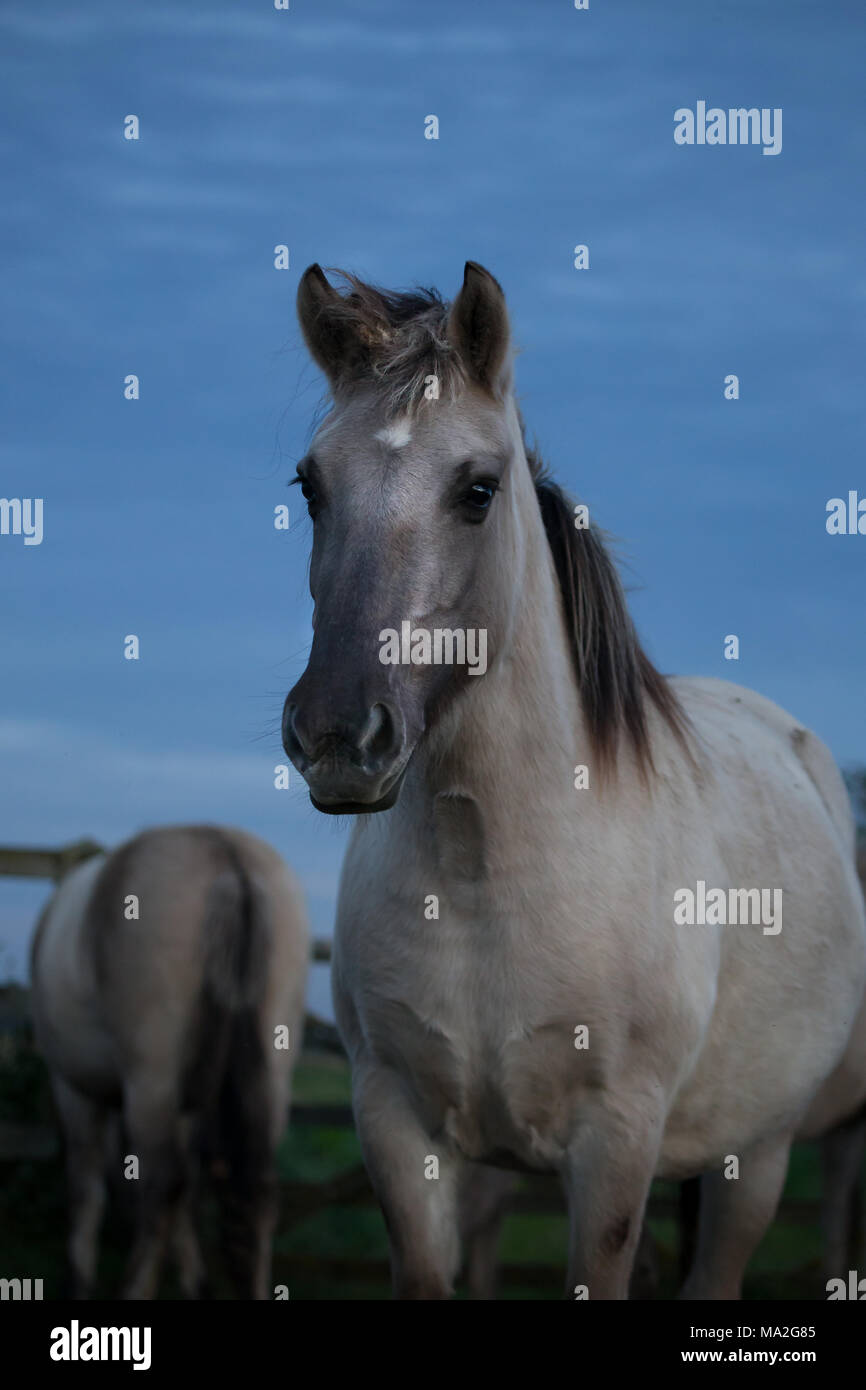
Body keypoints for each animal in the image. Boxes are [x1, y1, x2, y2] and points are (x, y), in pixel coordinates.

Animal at [30, 824, 309, 1299]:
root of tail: (229, 861)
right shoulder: (188, 1106)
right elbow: (189, 1197)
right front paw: (197, 1284)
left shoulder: (74, 1089)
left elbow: (85, 1191)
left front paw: (79, 1281)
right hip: (272, 1081)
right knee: (254, 1194)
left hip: (151, 1084)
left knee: (161, 1189)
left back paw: (133, 1289)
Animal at [282, 259, 866, 1299]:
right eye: (309, 487)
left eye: (478, 489)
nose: (338, 735)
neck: (485, 872)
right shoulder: (396, 1128)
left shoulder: (615, 1147)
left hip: (756, 1159)